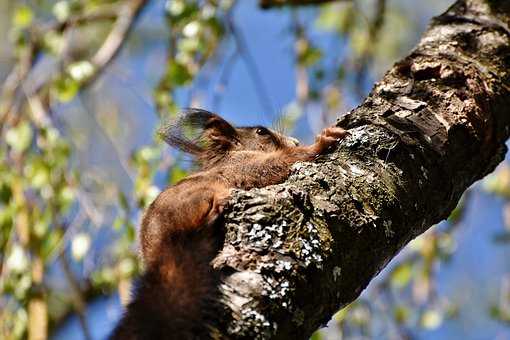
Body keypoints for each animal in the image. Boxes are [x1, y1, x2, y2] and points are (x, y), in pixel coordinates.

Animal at [107, 109, 346, 340]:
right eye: (261, 132)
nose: (295, 141)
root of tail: (161, 248)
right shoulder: (242, 165)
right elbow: (271, 166)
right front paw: (320, 142)